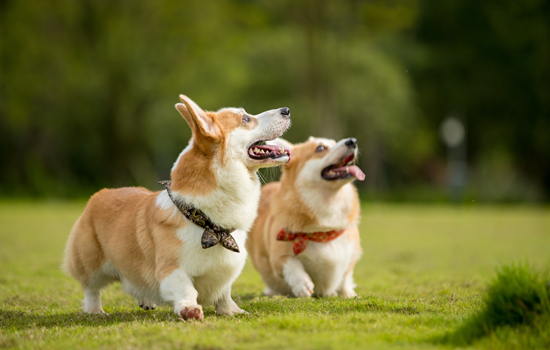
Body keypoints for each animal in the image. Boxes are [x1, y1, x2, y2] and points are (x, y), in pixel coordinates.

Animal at [64, 95, 294, 320]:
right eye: (245, 118)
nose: (286, 110)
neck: (208, 223)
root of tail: (101, 193)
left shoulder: (225, 269)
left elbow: (224, 293)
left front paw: (231, 310)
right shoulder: (171, 269)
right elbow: (186, 288)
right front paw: (189, 309)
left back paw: (146, 300)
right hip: (89, 262)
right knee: (91, 288)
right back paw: (94, 310)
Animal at [248, 137, 364, 298]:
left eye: (334, 142)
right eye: (320, 148)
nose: (352, 141)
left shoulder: (351, 255)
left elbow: (346, 276)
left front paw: (348, 294)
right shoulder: (278, 256)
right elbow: (292, 264)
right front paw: (302, 285)